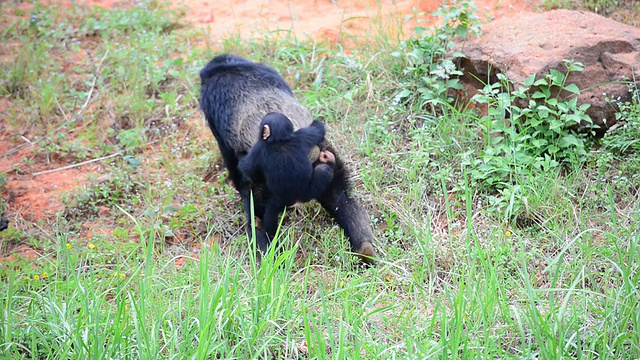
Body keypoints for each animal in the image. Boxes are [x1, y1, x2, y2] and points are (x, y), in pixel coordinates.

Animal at [200, 53, 376, 262]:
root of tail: (312, 154)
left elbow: (232, 163)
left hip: (266, 186)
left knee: (256, 213)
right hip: (330, 157)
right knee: (342, 199)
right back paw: (364, 248)